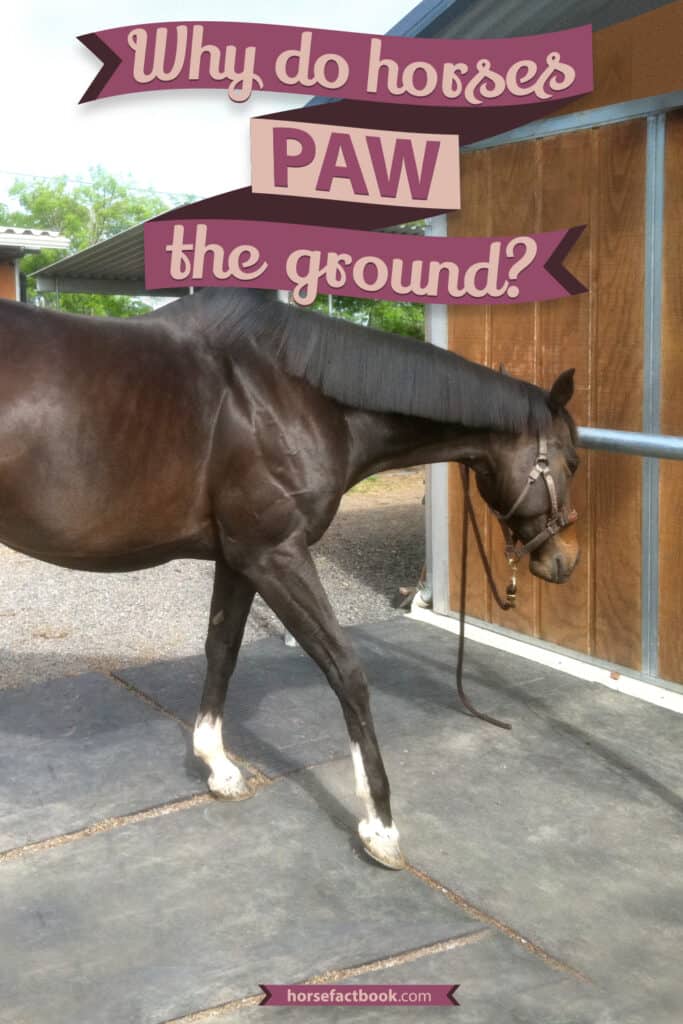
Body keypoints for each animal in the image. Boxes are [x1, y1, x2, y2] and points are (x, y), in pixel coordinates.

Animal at [0, 287, 580, 869]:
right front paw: (381, 827)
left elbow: (222, 649)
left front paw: (219, 767)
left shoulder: (239, 558)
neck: (288, 395)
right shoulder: (275, 553)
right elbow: (346, 670)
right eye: (572, 462)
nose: (566, 561)